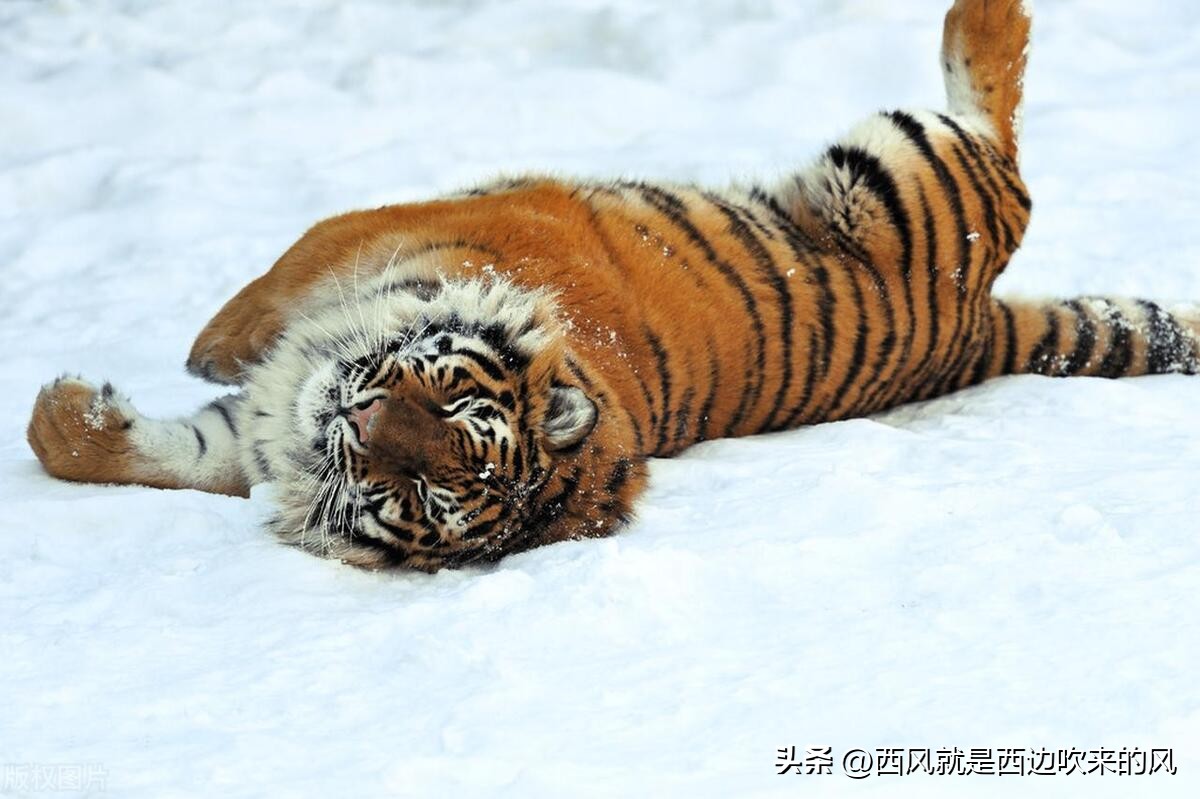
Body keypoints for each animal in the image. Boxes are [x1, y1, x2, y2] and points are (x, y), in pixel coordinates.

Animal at [26, 0, 1200, 572]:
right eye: (439, 397)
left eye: (426, 489)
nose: (356, 420)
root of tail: (979, 330)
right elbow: (180, 395)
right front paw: (84, 403)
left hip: (900, 174)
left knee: (998, 128)